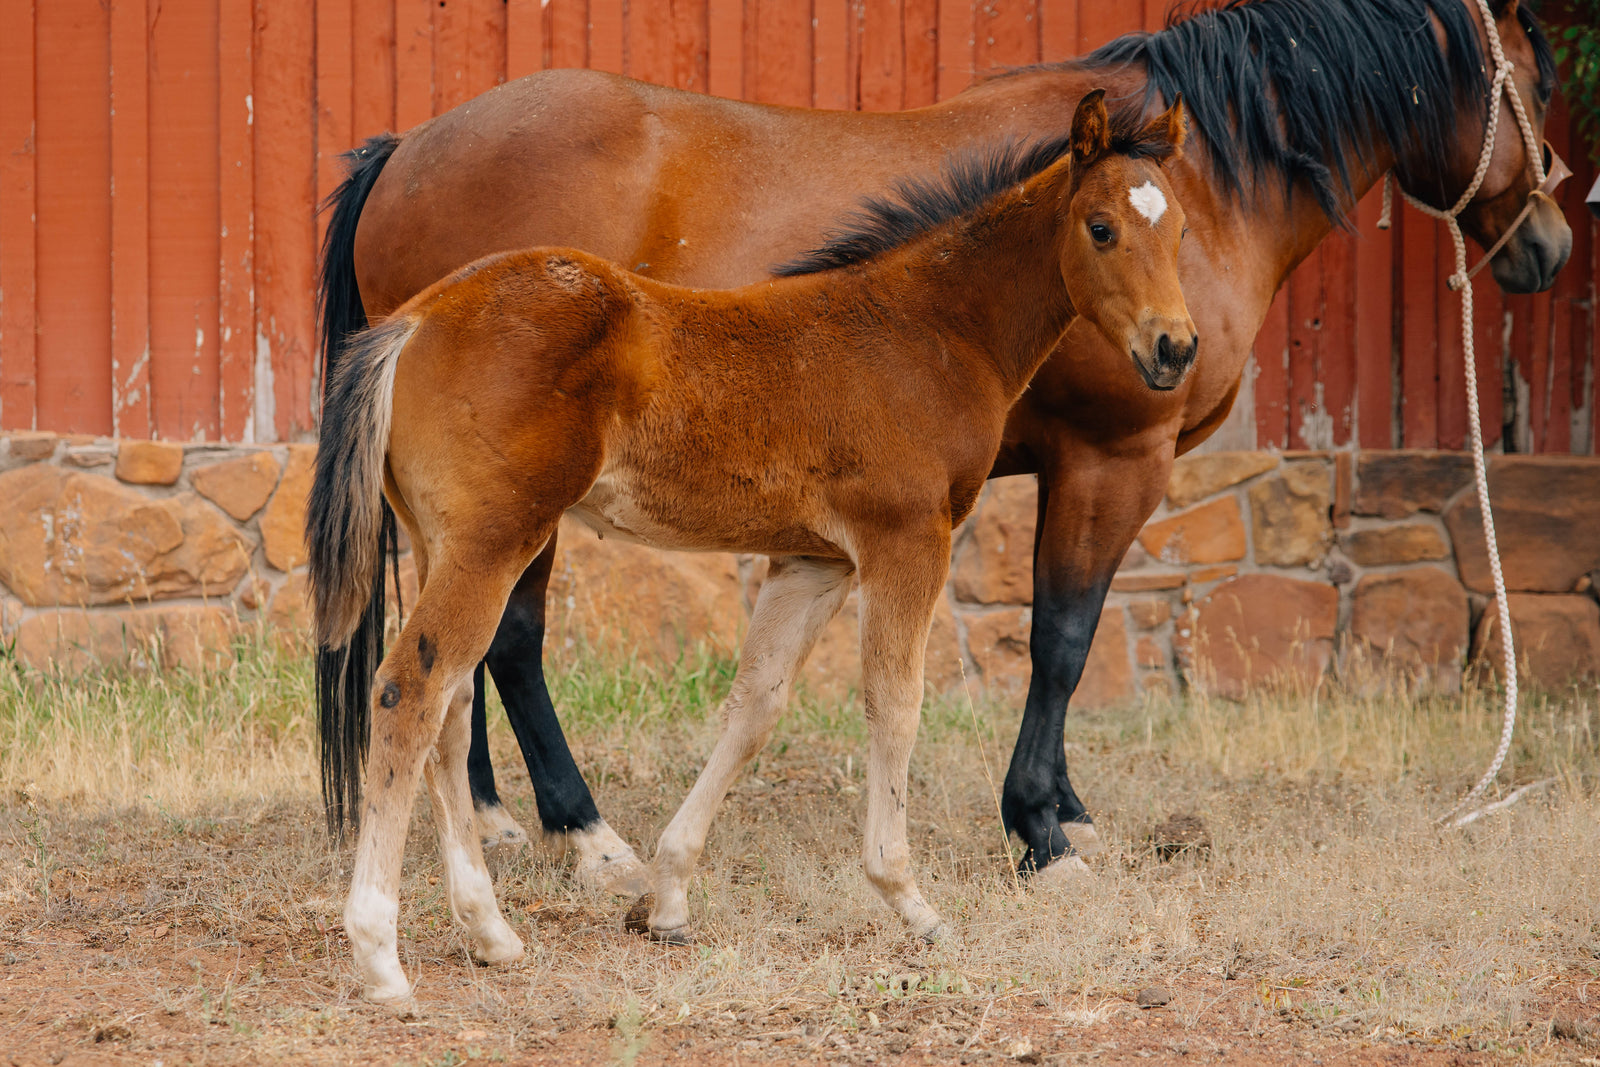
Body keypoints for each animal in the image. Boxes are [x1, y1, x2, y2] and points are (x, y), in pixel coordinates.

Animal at [308, 92, 1194, 1002]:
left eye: (1183, 229)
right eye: (1100, 228)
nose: (1175, 348)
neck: (931, 330)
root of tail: (415, 321)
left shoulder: (815, 560)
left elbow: (755, 706)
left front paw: (665, 900)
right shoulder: (907, 539)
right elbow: (896, 703)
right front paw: (911, 902)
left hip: (441, 541)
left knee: (450, 704)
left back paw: (490, 931)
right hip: (493, 539)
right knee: (411, 688)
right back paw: (380, 950)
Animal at [316, 0, 1571, 887]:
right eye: (1529, 79)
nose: (1551, 244)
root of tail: (407, 148)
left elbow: (1065, 639)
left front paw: (1066, 810)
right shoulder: (1114, 457)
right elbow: (1062, 639)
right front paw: (1041, 830)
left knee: (470, 647)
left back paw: (490, 823)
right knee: (507, 642)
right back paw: (581, 833)